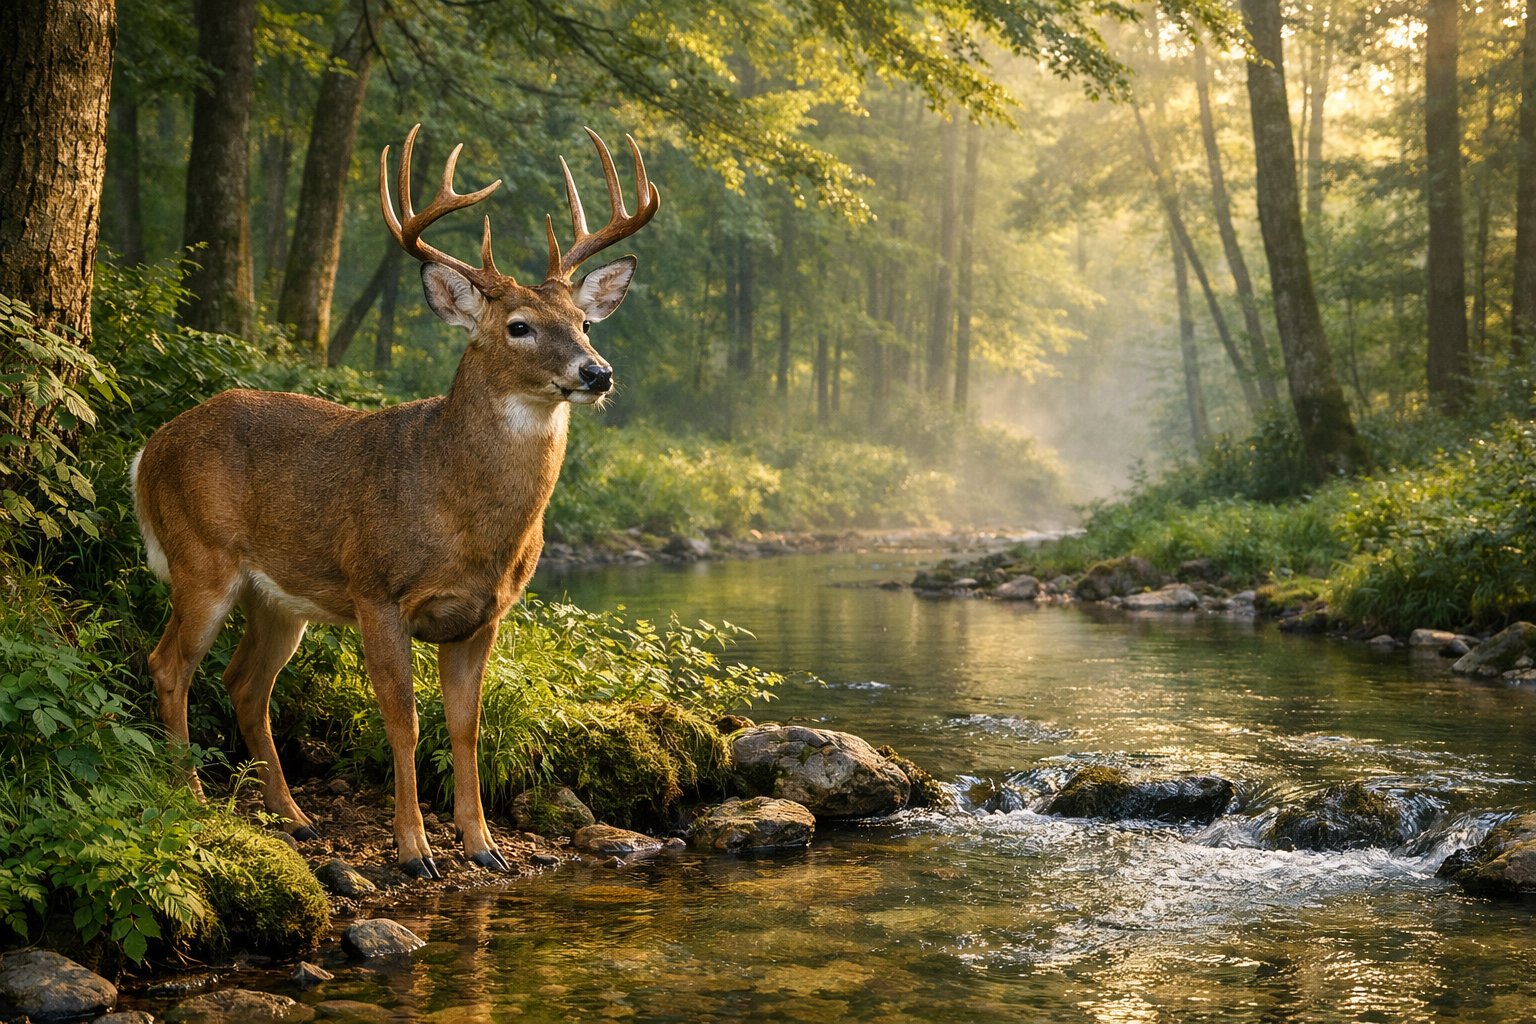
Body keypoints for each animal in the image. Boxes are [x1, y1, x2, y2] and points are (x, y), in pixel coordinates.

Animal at [131, 124, 659, 878]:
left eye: (585, 321)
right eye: (519, 326)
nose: (597, 372)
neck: (462, 514)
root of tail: (149, 448)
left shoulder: (482, 614)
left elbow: (466, 726)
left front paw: (484, 847)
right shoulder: (376, 590)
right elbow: (403, 722)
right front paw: (414, 852)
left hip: (279, 599)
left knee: (244, 682)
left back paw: (294, 818)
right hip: (201, 559)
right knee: (169, 665)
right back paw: (194, 798)